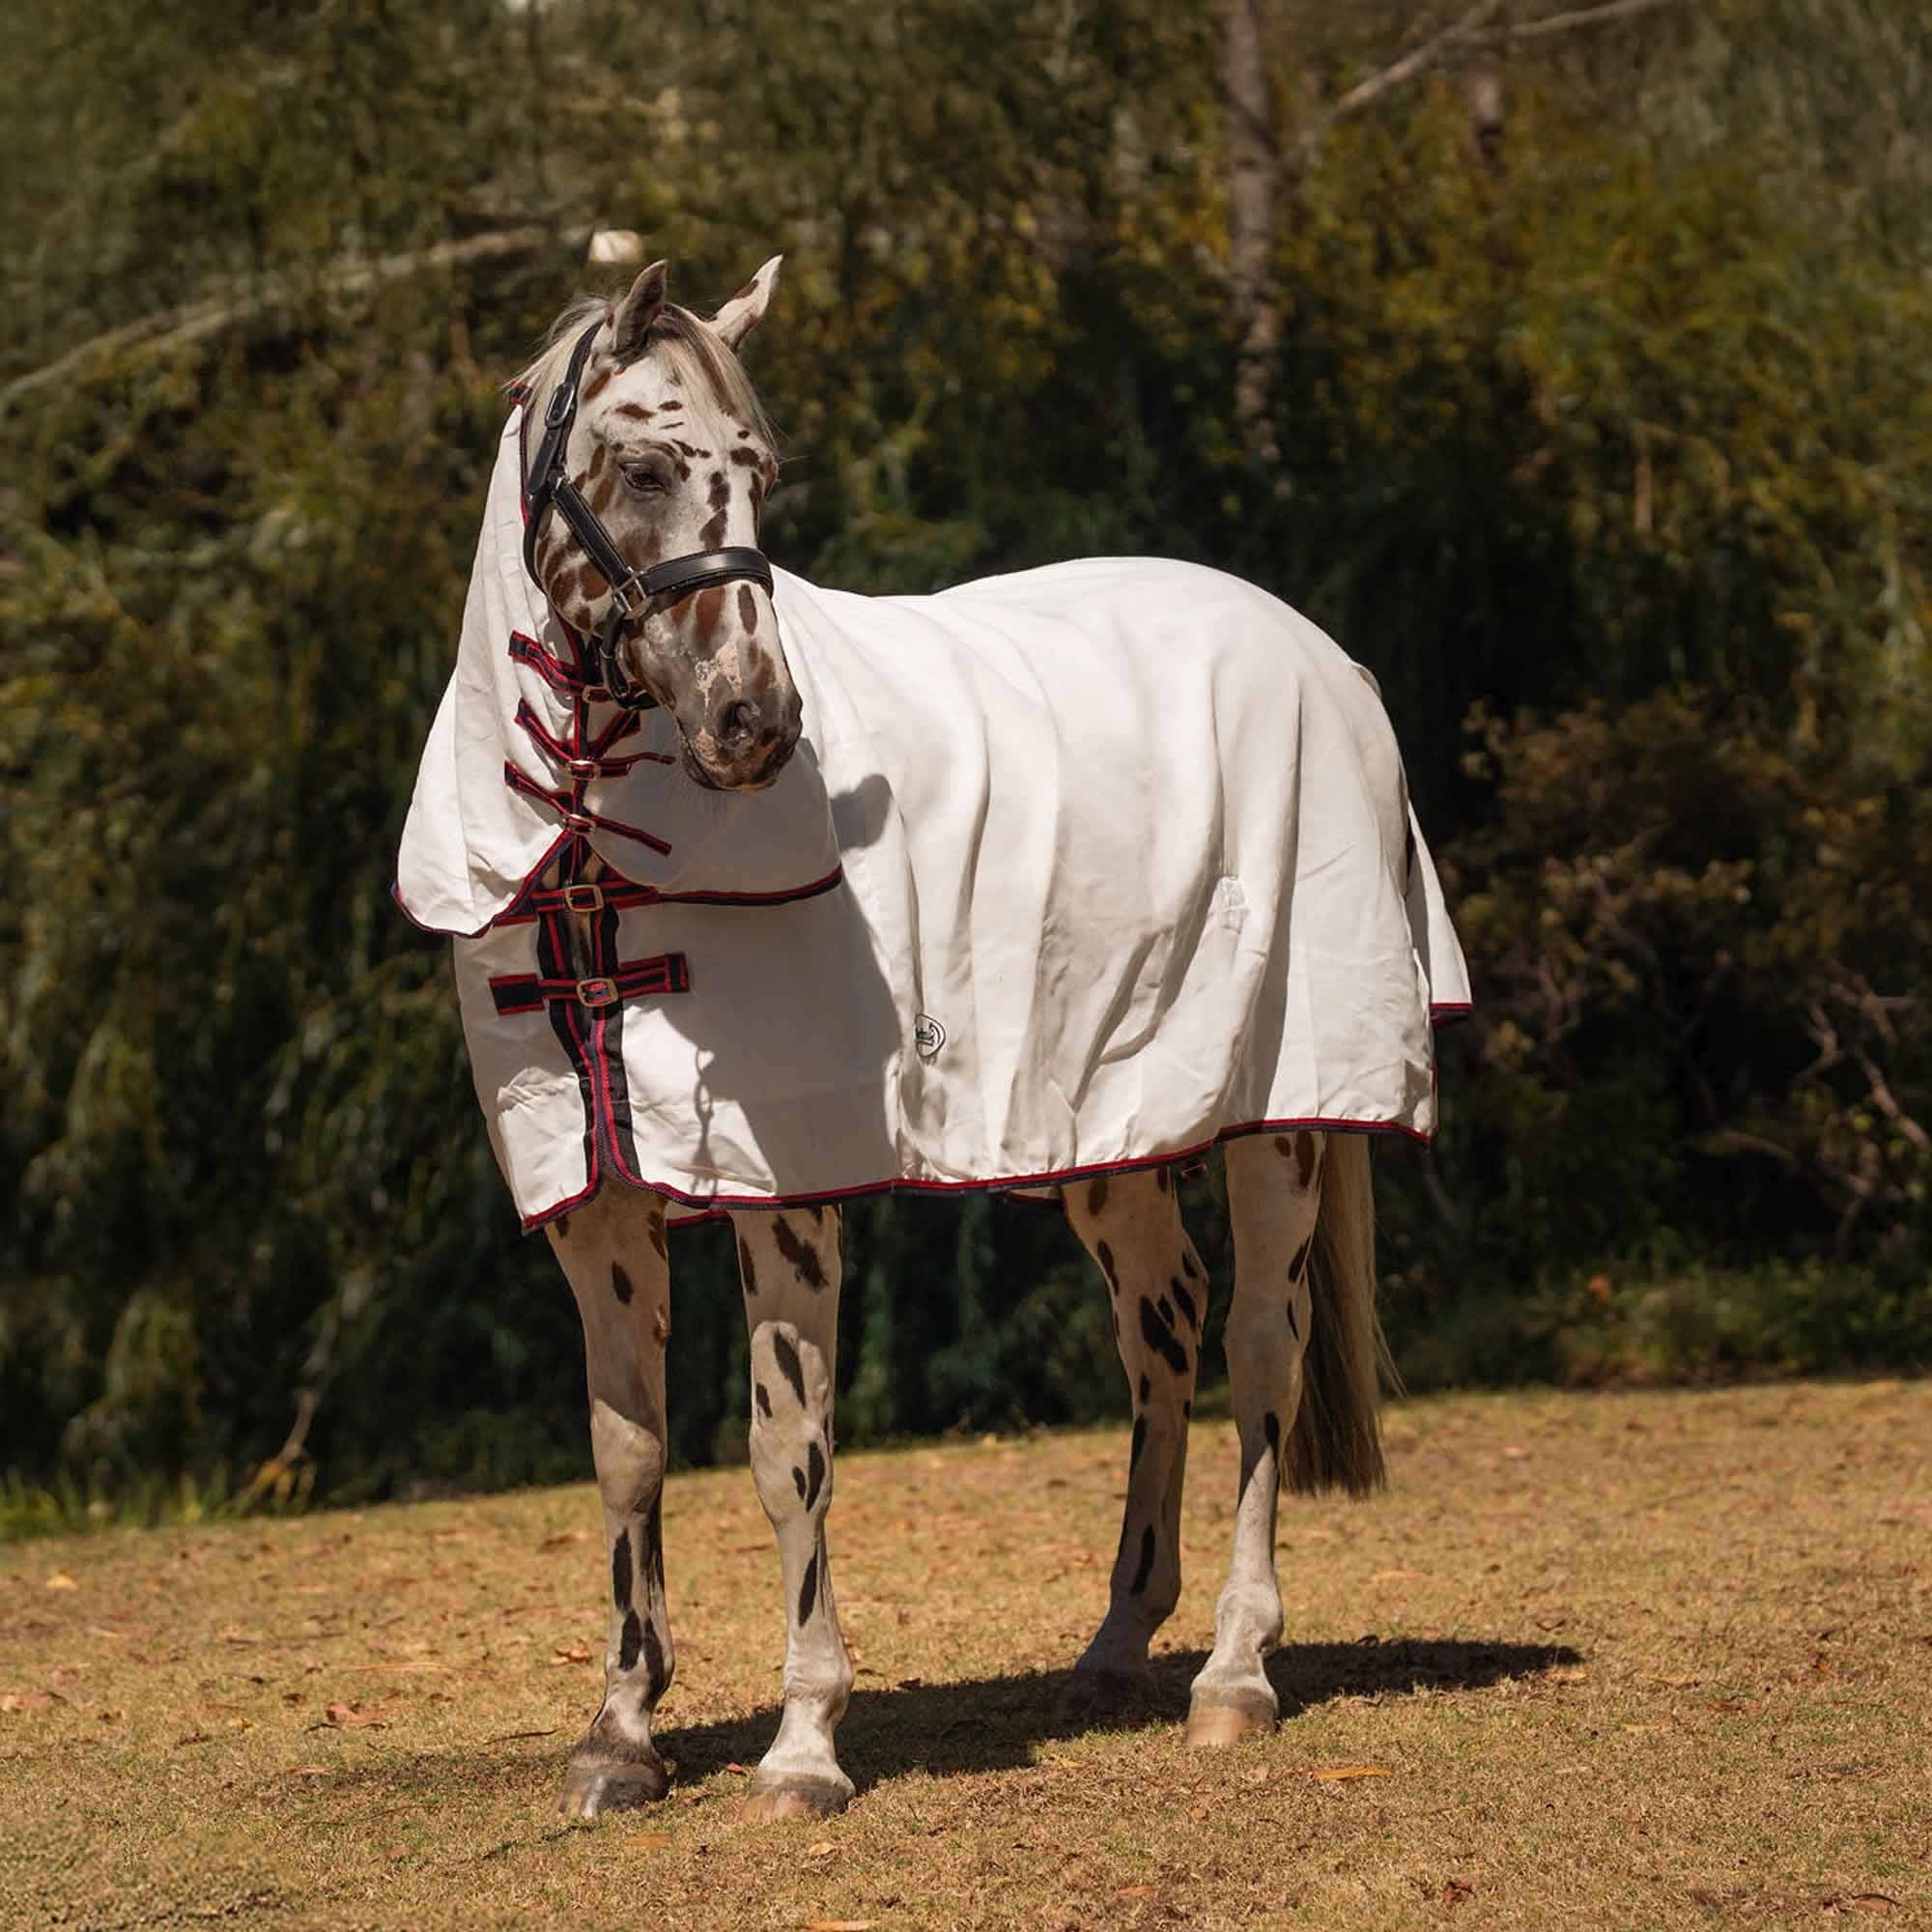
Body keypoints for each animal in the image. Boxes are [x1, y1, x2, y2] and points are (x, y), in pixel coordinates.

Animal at [396, 254, 1469, 1822]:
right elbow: (626, 1449)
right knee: (1163, 1328)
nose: (755, 721)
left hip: (1282, 1111)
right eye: (647, 467)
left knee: (1262, 1348)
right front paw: (622, 1733)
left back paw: (1232, 1672)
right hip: (1110, 1120)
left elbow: (786, 1451)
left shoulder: (784, 1188)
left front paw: (803, 1743)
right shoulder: (593, 1201)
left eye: (761, 475)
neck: (596, 851)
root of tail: (1323, 659)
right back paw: (1115, 1641)